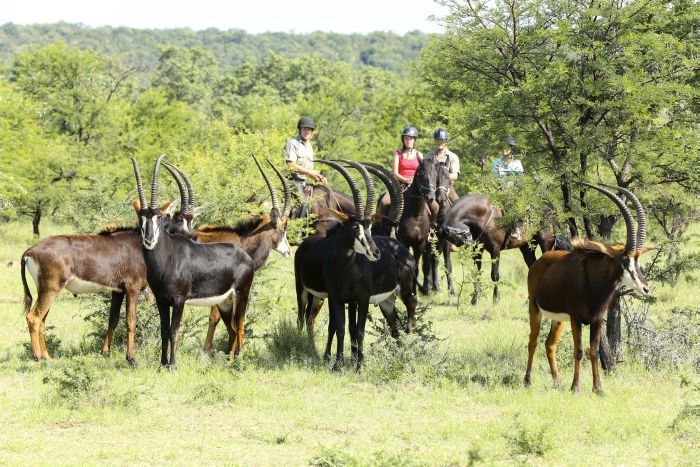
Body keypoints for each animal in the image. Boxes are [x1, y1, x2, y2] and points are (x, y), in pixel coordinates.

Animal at [20, 199, 182, 364]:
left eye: (159, 217)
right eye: (175, 217)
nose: (150, 240)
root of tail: (30, 252)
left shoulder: (118, 291)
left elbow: (113, 320)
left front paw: (105, 353)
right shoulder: (132, 289)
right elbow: (131, 321)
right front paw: (131, 359)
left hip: (46, 290)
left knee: (42, 320)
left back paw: (47, 357)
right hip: (50, 289)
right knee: (33, 318)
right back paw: (37, 356)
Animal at [130, 154, 256, 370]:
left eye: (158, 217)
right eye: (141, 218)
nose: (149, 240)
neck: (168, 257)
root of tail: (245, 256)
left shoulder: (179, 300)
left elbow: (174, 331)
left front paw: (172, 365)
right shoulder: (162, 301)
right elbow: (164, 331)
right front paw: (162, 364)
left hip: (241, 295)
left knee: (240, 327)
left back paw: (239, 363)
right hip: (224, 303)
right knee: (232, 328)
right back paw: (229, 362)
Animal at [524, 183, 652, 394]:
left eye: (638, 260)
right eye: (625, 259)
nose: (645, 288)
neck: (594, 287)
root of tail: (540, 262)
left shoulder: (597, 320)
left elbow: (594, 352)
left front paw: (598, 389)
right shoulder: (576, 319)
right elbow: (579, 351)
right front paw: (576, 387)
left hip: (559, 319)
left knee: (550, 344)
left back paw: (558, 383)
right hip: (535, 309)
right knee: (532, 342)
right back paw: (527, 381)